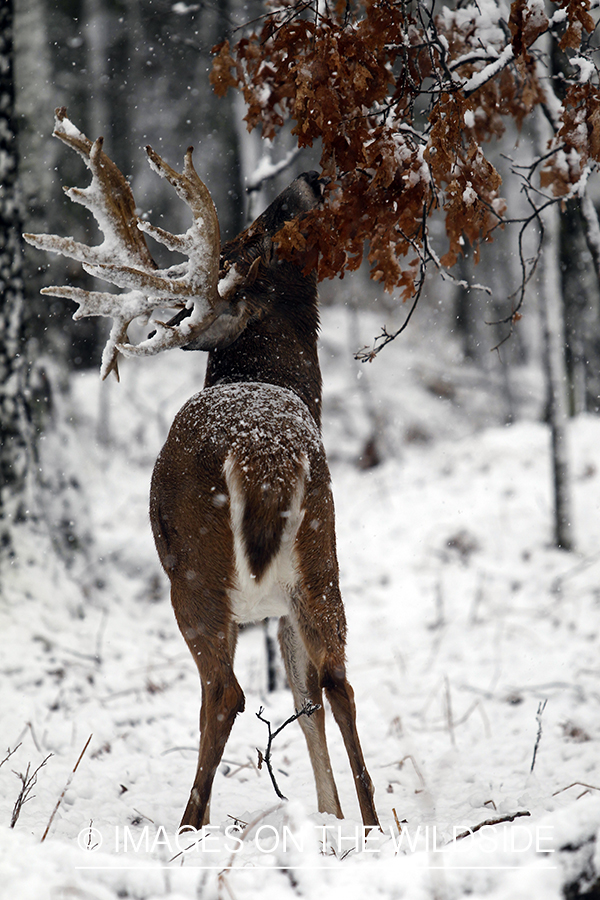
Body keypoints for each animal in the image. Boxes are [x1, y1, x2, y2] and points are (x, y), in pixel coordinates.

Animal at [27, 109, 380, 832]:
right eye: (259, 235)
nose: (312, 174)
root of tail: (263, 452)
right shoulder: (284, 605)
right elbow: (305, 696)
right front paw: (329, 817)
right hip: (322, 558)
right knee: (338, 681)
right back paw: (374, 824)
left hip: (194, 573)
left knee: (225, 693)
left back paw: (189, 827)